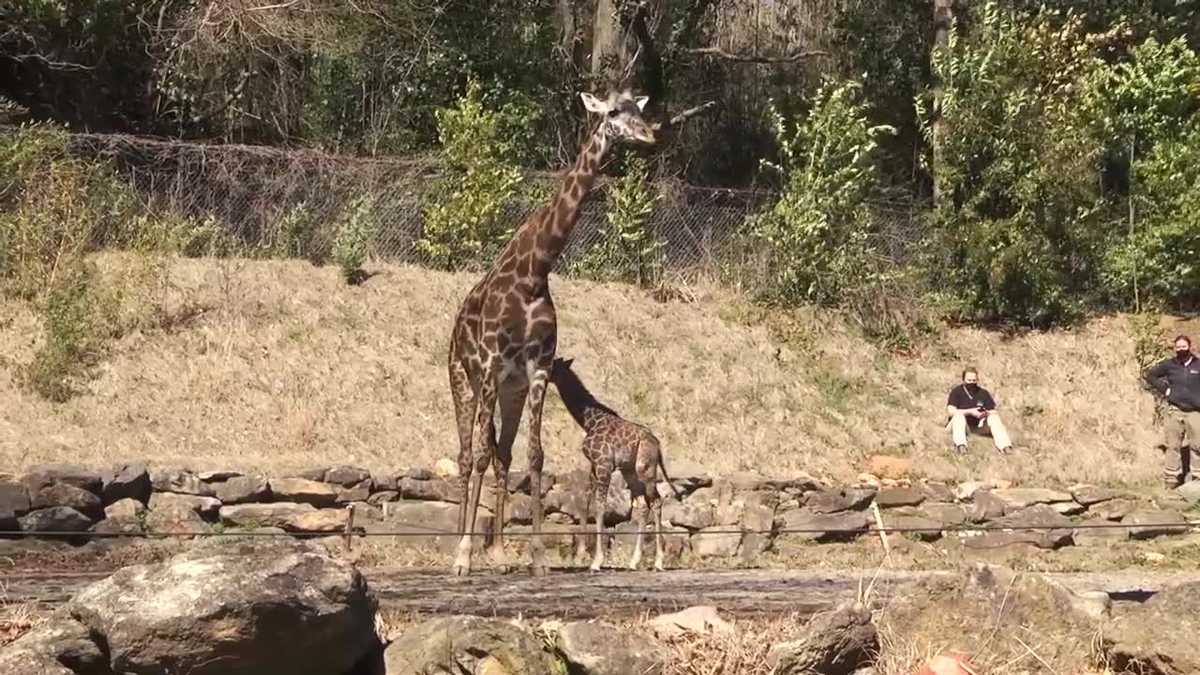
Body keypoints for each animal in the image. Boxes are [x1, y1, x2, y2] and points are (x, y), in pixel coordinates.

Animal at [448, 88, 657, 571]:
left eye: (639, 110)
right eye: (613, 112)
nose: (649, 135)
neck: (533, 272)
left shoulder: (537, 369)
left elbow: (535, 456)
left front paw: (537, 557)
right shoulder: (490, 363)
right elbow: (480, 456)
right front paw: (465, 554)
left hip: (510, 392)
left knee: (502, 454)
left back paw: (498, 551)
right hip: (464, 381)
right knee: (468, 456)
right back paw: (460, 550)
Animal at [549, 355, 681, 569]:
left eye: (552, 365)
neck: (588, 421)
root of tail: (658, 445)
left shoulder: (604, 465)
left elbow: (600, 507)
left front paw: (597, 560)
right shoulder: (594, 466)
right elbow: (585, 502)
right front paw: (580, 555)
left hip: (645, 468)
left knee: (656, 502)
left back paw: (658, 561)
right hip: (630, 471)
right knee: (643, 505)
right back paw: (634, 561)